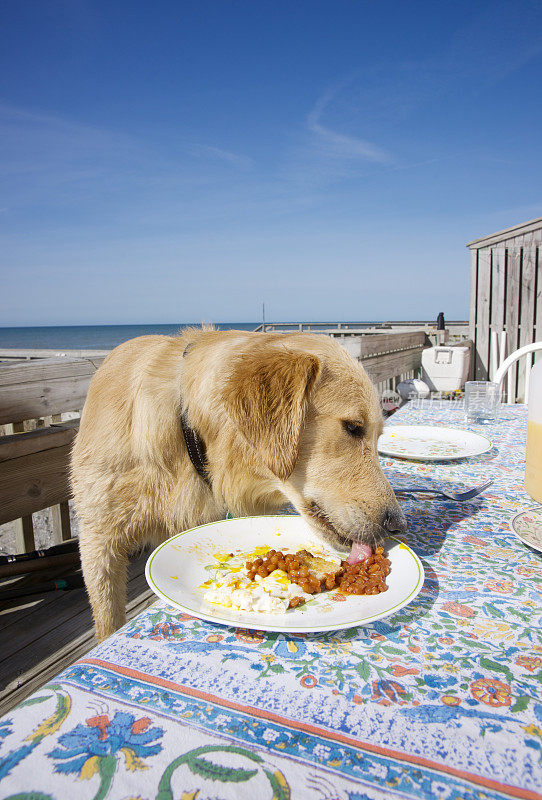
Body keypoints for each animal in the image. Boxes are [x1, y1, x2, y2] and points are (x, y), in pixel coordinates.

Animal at [72, 328, 406, 640]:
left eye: (377, 436)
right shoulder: (98, 543)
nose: (398, 525)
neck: (187, 431)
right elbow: (107, 617)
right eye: (353, 427)